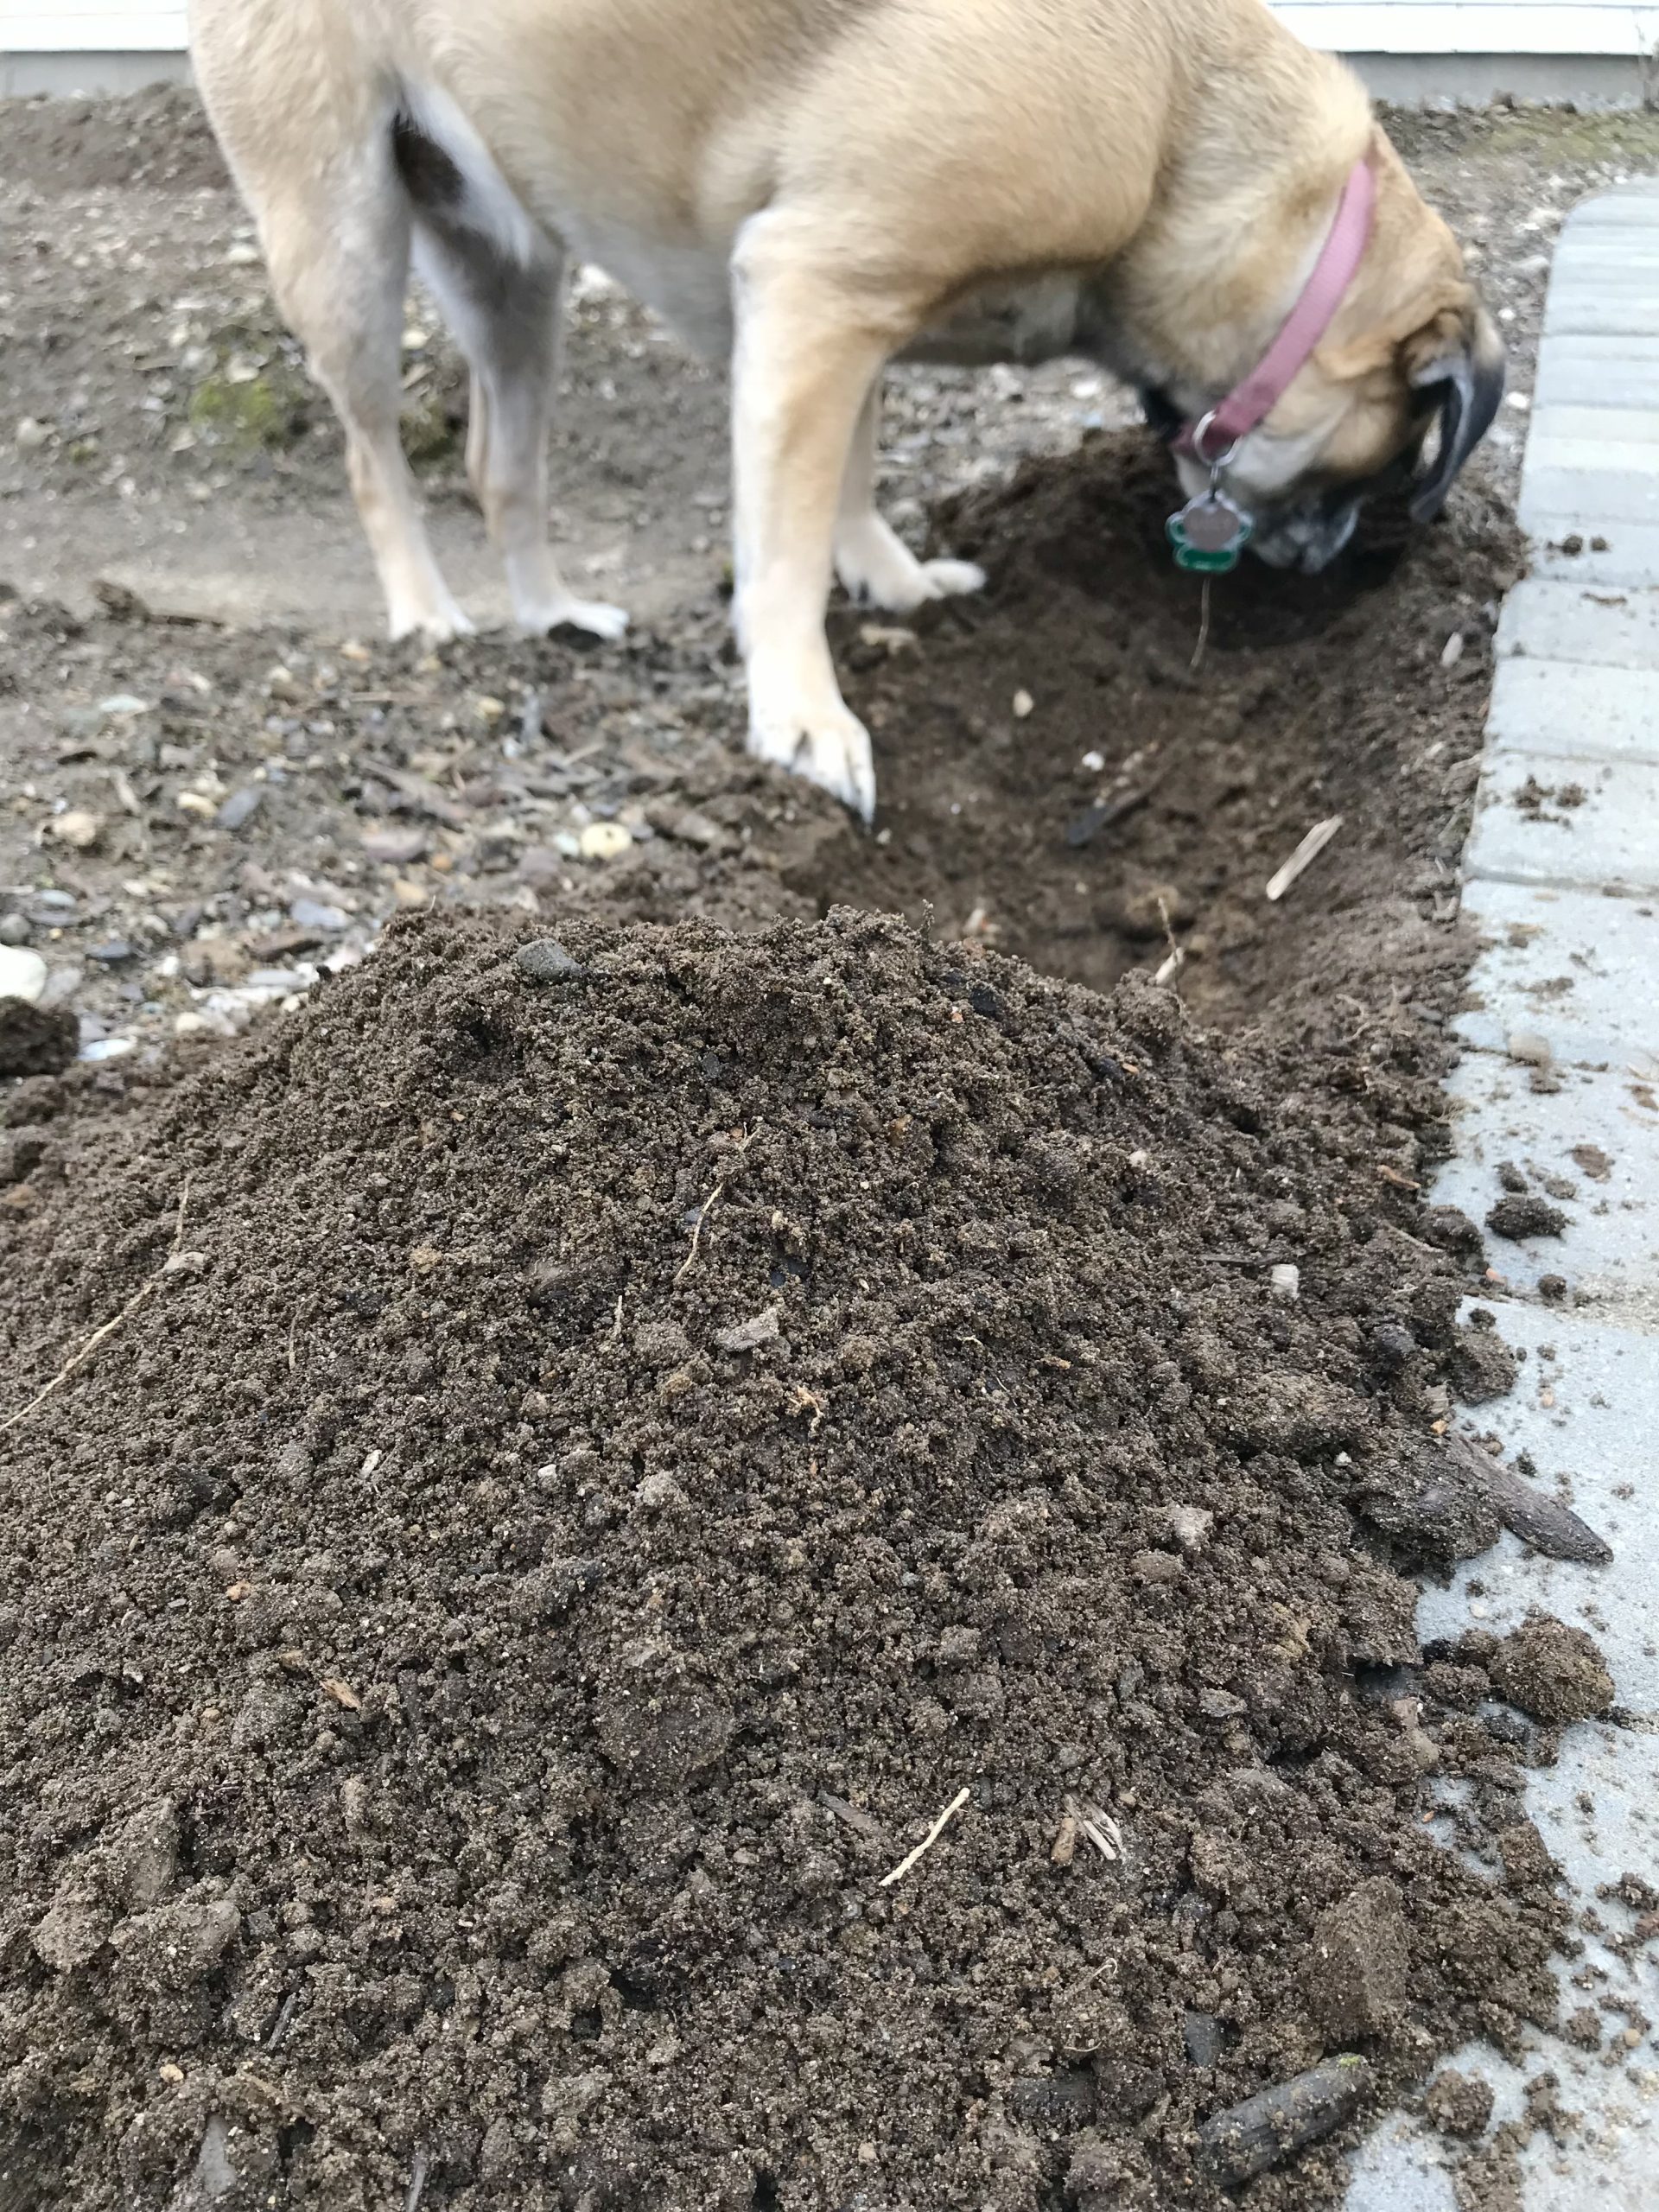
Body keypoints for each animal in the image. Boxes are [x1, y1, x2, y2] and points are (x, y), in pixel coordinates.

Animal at [191, 0, 1503, 823]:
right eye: (1393, 465)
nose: (1332, 569)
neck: (1184, 129)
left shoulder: (861, 311)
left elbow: (854, 475)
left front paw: (898, 580)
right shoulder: (814, 284)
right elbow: (782, 550)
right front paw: (805, 717)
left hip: (506, 268)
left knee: (498, 464)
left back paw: (550, 612)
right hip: (342, 228)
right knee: (372, 454)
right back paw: (426, 611)